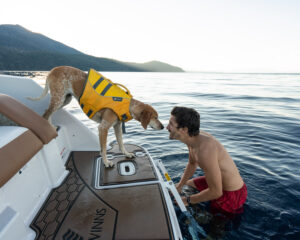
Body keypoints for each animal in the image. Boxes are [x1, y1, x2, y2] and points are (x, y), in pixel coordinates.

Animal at [28, 65, 164, 167]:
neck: (127, 105)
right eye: (155, 117)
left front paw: (126, 153)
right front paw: (106, 162)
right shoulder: (103, 127)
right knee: (46, 113)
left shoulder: (117, 126)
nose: (163, 127)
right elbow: (103, 149)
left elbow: (121, 142)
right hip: (59, 98)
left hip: (65, 100)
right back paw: (49, 127)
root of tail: (54, 69)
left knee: (48, 111)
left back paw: (51, 126)